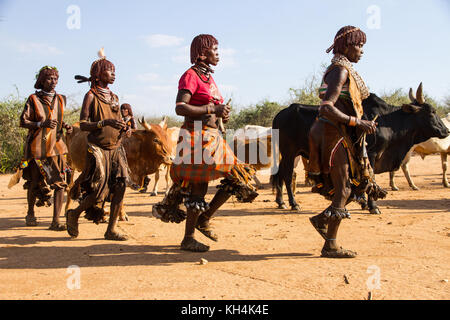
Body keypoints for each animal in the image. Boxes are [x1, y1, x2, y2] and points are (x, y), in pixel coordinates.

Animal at [270, 90, 450, 212]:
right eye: (431, 112)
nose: (446, 130)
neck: (387, 120)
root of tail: (280, 114)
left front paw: (363, 202)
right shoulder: (371, 154)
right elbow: (370, 178)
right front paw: (372, 206)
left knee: (280, 174)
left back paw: (281, 202)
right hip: (290, 153)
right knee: (287, 175)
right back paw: (293, 203)